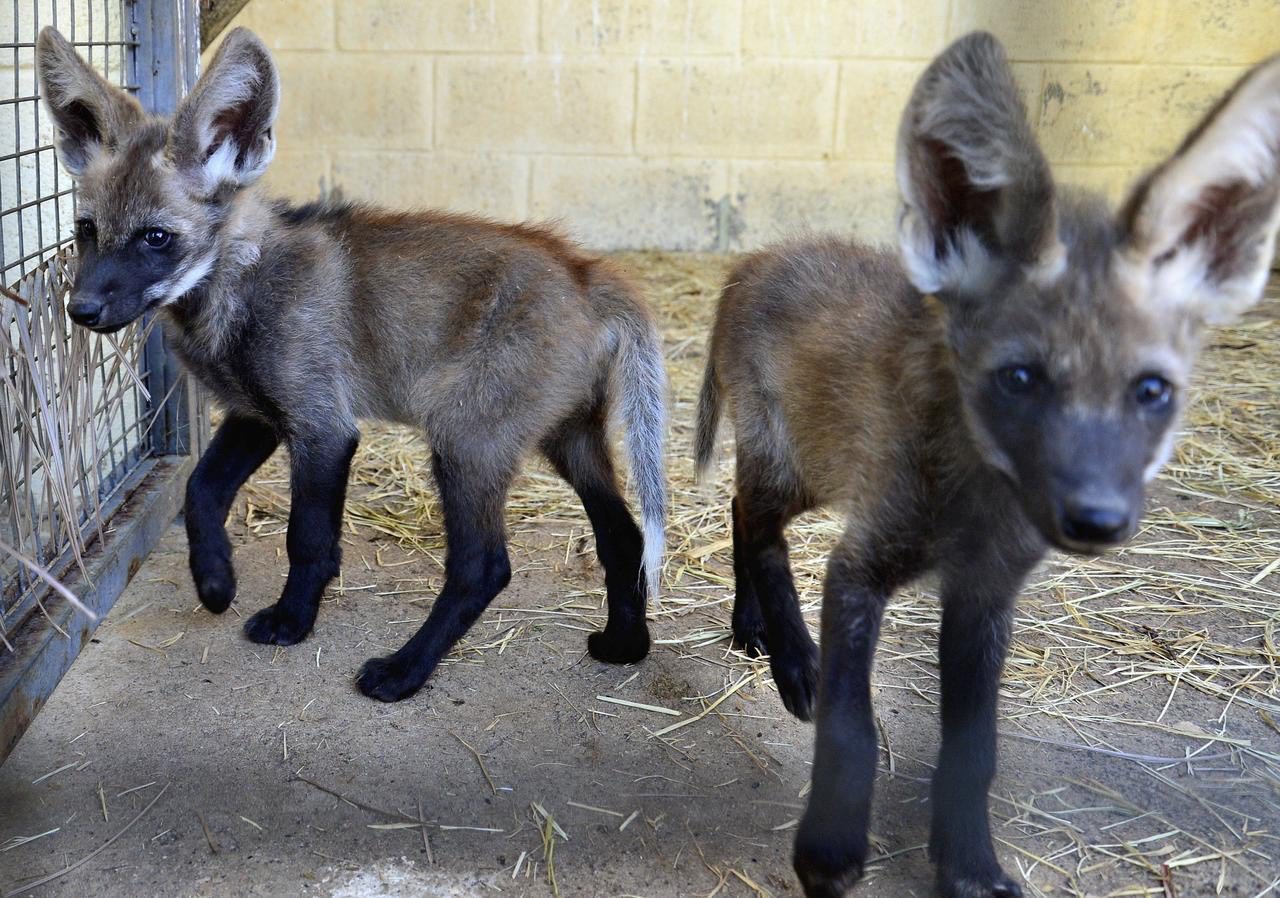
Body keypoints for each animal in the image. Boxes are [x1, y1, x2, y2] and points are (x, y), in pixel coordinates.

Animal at [36, 27, 667, 703]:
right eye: (86, 230)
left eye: (155, 238)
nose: (81, 309)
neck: (240, 292)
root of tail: (588, 270)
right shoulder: (258, 413)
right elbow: (201, 492)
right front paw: (215, 583)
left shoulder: (323, 427)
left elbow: (308, 541)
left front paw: (291, 621)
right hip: (565, 439)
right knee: (624, 537)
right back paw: (625, 645)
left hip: (464, 445)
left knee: (484, 569)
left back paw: (403, 671)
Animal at [695, 32, 1280, 898]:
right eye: (1020, 378)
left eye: (1150, 391)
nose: (1096, 519)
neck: (976, 507)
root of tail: (755, 259)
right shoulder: (862, 564)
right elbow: (850, 728)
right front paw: (829, 851)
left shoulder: (985, 595)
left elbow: (974, 753)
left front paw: (969, 866)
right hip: (799, 464)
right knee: (753, 521)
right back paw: (791, 654)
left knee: (742, 514)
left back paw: (753, 628)